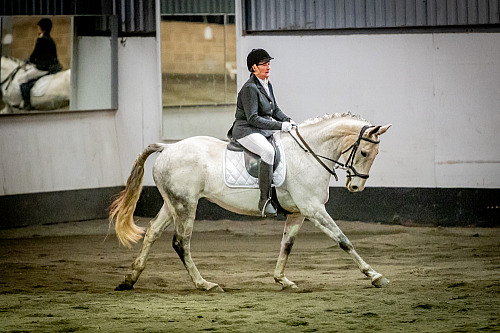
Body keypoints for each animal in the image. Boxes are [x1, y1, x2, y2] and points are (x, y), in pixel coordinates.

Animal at [109, 113, 390, 290]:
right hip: (186, 205)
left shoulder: (298, 213)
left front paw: (281, 279)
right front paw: (375, 275)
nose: (356, 187)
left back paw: (130, 279)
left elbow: (286, 246)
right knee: (181, 243)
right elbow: (343, 241)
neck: (308, 154)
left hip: (172, 204)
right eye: (365, 152)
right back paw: (204, 284)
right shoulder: (313, 208)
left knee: (152, 232)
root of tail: (167, 148)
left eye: (376, 154)